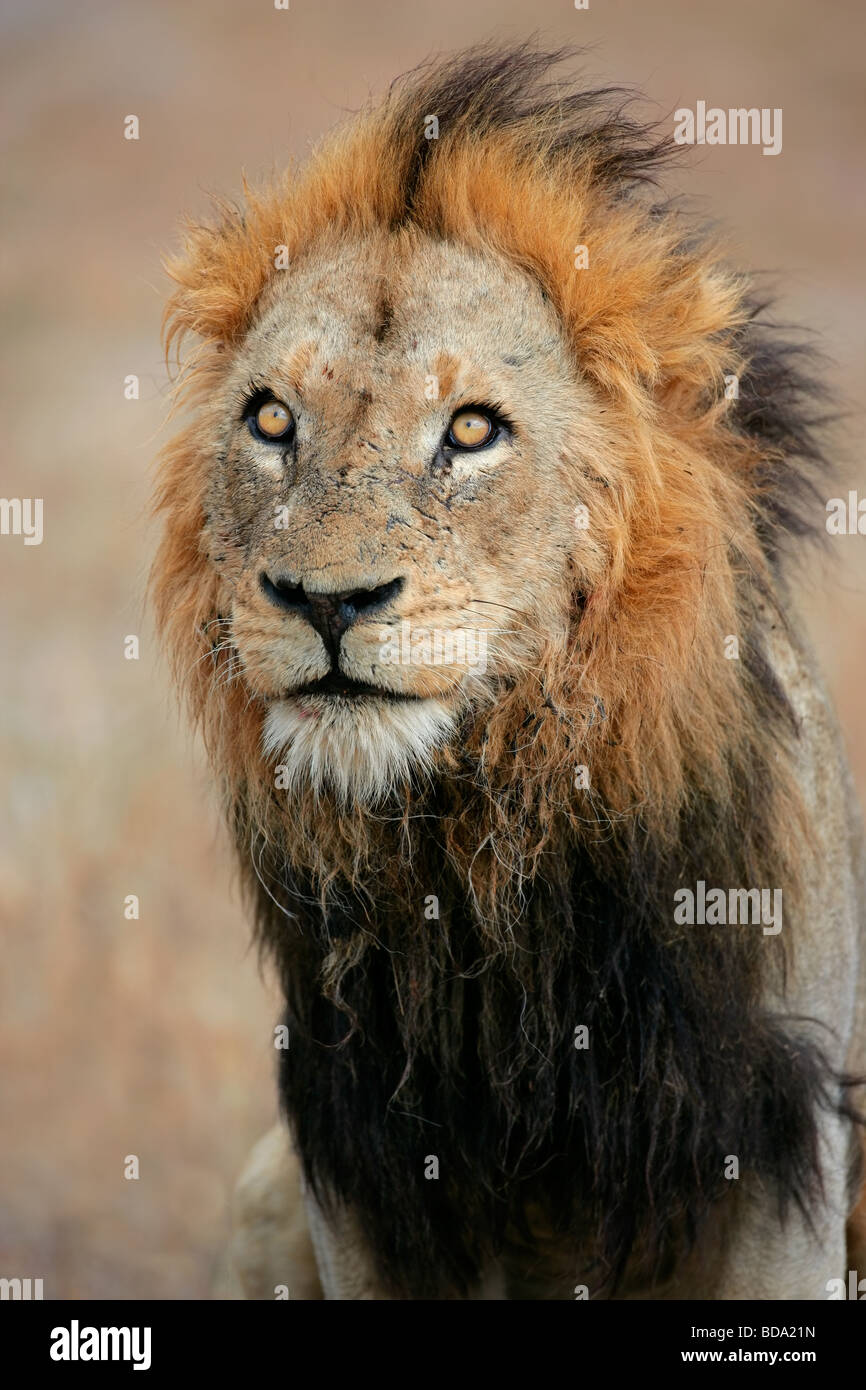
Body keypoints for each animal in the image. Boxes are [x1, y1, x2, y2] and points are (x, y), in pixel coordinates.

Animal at [154, 46, 866, 1301]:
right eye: (272, 420)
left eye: (473, 430)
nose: (325, 601)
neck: (482, 837)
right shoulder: (362, 1167)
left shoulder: (778, 1148)